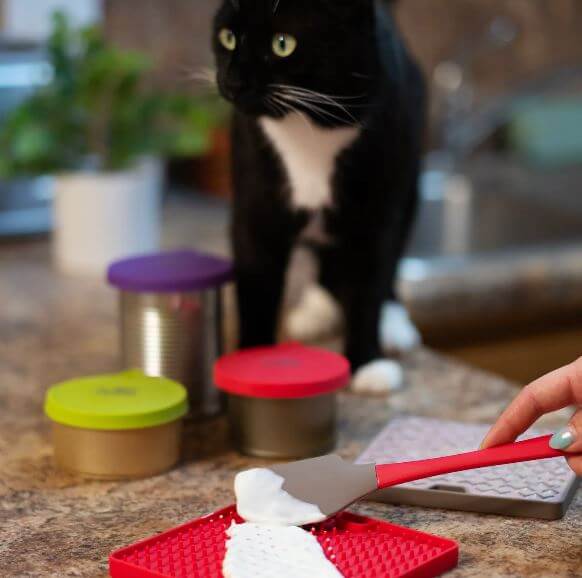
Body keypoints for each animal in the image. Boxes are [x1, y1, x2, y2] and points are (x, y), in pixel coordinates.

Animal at [212, 0, 426, 392]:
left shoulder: (376, 212)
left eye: (283, 44)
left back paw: (392, 321)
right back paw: (318, 308)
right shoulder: (253, 208)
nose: (233, 81)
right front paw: (249, 358)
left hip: (409, 178)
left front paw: (367, 363)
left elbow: (369, 283)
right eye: (227, 37)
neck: (311, 125)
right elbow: (256, 285)